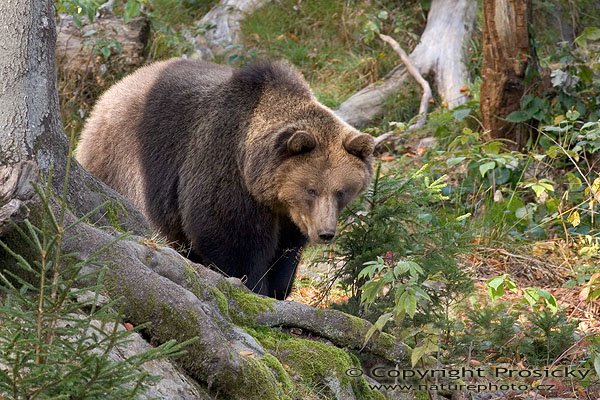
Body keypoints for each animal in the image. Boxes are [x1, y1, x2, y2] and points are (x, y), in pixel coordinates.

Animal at [77, 57, 372, 298]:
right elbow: (229, 234)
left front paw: (279, 286)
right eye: (311, 189)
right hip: (125, 161)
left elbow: (287, 249)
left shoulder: (289, 214)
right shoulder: (225, 165)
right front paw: (254, 285)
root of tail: (108, 94)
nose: (325, 233)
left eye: (341, 191)